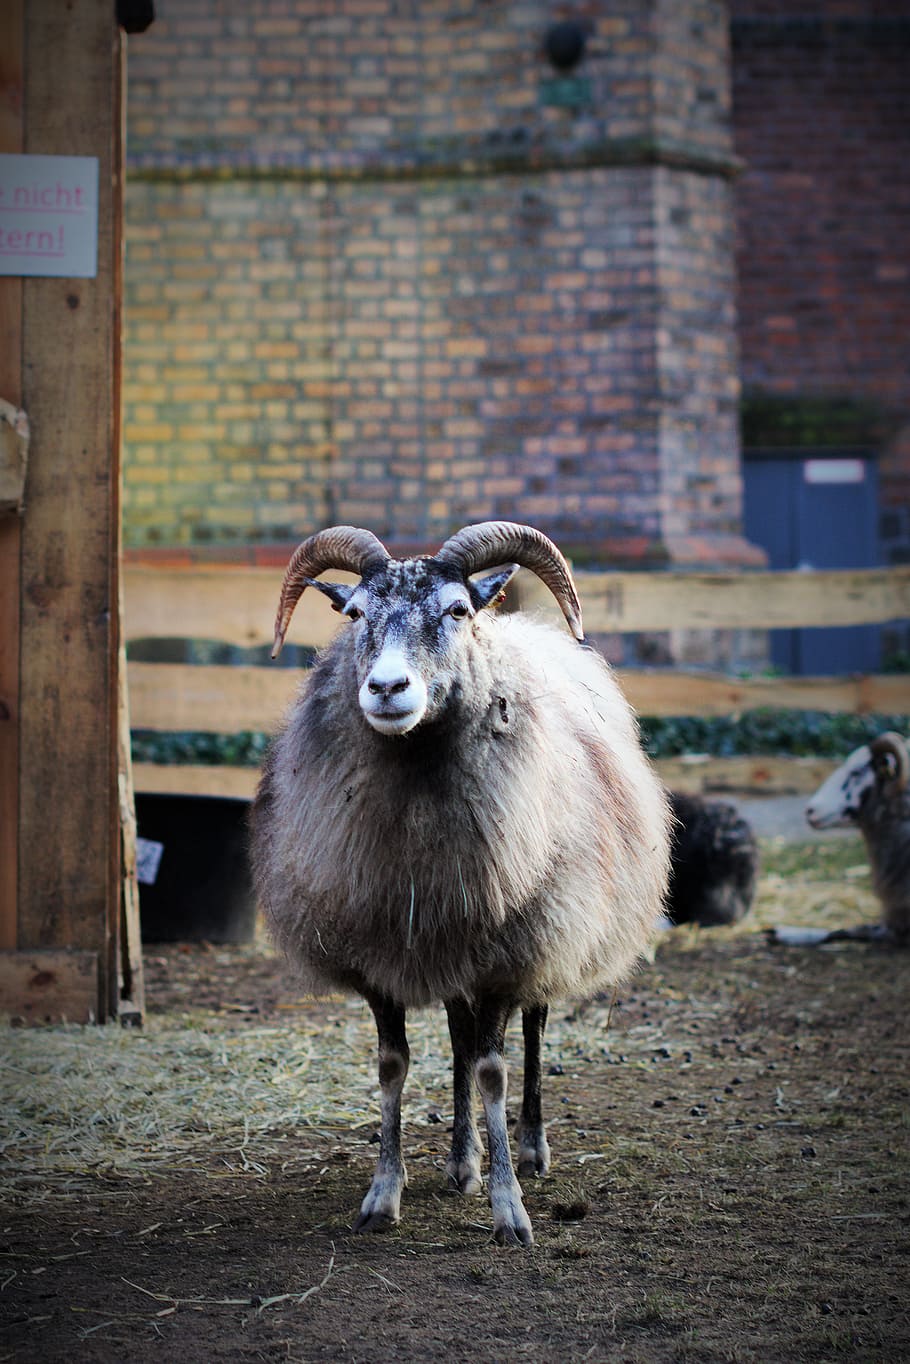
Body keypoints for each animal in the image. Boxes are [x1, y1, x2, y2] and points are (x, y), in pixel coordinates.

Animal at [250, 521, 671, 1246]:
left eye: (456, 610)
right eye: (355, 614)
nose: (387, 689)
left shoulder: (508, 952)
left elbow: (493, 1069)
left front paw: (509, 1209)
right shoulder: (382, 951)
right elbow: (396, 1065)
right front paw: (383, 1194)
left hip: (546, 928)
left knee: (530, 1031)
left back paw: (528, 1150)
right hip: (448, 943)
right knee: (457, 1036)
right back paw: (460, 1159)